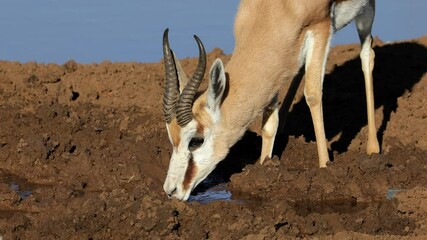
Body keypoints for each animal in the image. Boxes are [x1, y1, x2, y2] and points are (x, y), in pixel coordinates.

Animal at [162, 0, 380, 201]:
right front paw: (263, 168)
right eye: (171, 139)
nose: (171, 190)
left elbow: (312, 94)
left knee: (367, 55)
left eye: (196, 141)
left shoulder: (321, 27)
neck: (276, 8)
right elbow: (268, 122)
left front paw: (325, 168)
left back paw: (373, 149)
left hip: (365, 11)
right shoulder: (276, 68)